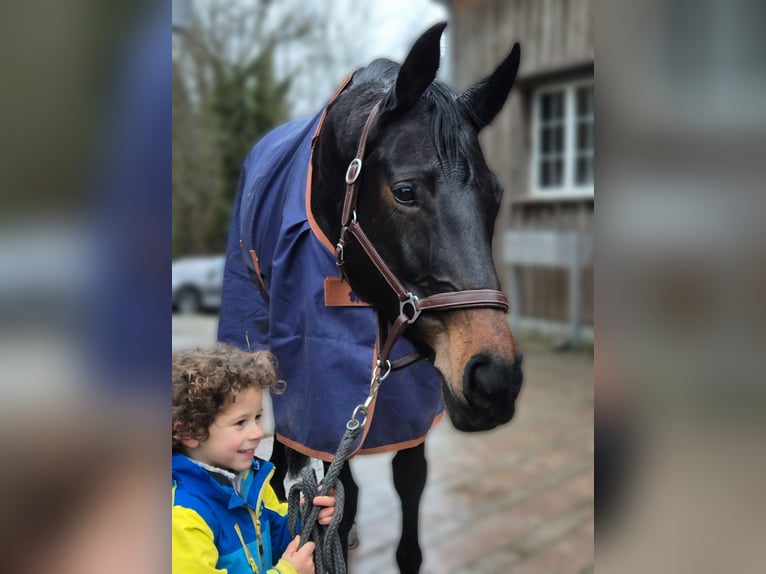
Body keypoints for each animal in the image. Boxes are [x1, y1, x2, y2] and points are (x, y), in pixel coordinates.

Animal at [217, 22, 523, 573]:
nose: (495, 378)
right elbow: (333, 484)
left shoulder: (408, 406)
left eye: (496, 194)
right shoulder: (323, 389)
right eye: (404, 191)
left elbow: (407, 495)